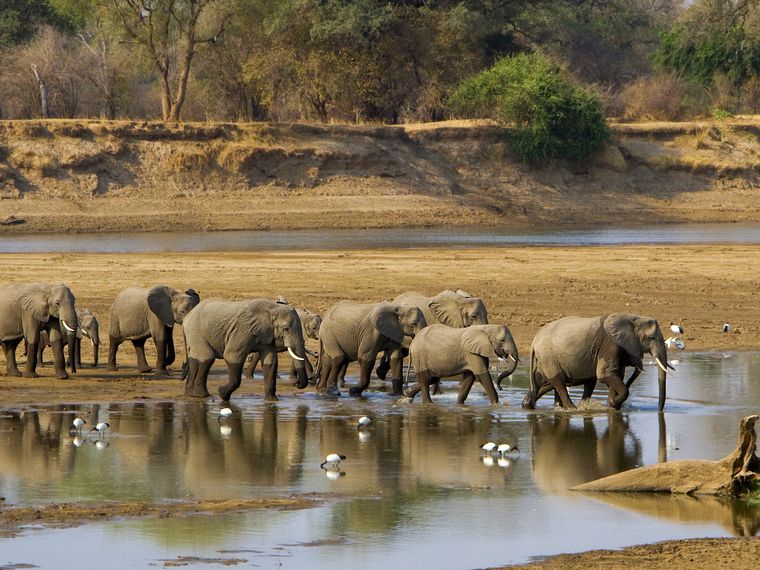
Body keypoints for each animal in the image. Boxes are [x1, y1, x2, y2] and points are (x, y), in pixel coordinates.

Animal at [523, 314, 672, 411]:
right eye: (651, 338)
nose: (659, 410)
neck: (632, 318)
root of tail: (534, 341)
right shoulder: (610, 344)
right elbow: (605, 374)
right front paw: (613, 404)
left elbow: (616, 375)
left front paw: (611, 406)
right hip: (548, 356)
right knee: (558, 381)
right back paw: (573, 409)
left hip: (546, 359)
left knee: (545, 382)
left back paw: (528, 405)